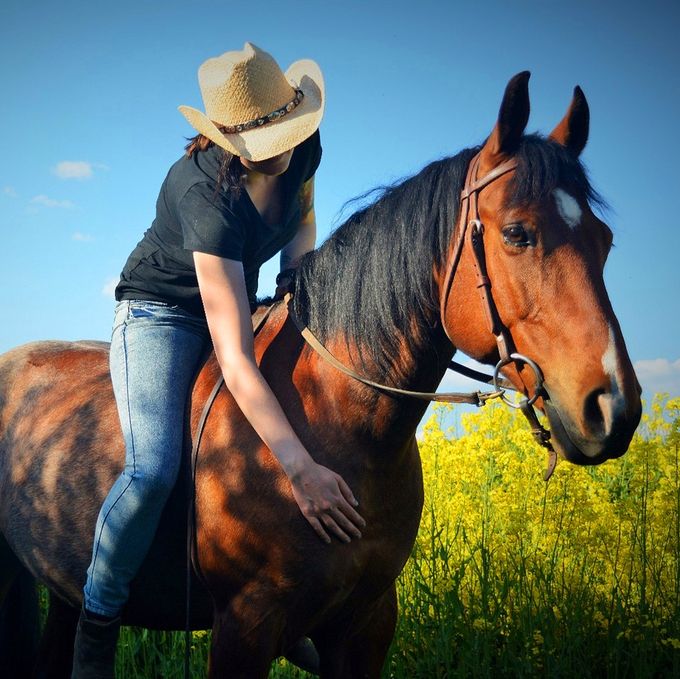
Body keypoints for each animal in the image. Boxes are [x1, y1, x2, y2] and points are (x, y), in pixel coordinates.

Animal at [0, 71, 640, 676]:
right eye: (516, 233)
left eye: (607, 241)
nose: (614, 409)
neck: (337, 421)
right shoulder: (245, 627)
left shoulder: (367, 624)